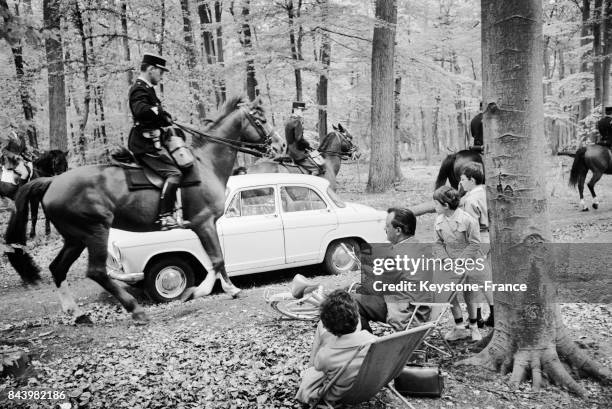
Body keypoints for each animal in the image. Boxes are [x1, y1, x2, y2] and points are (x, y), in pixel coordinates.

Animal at [3, 97, 286, 324]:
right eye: (260, 119)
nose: (281, 145)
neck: (205, 163)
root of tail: (52, 182)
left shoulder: (210, 224)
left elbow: (220, 259)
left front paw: (231, 289)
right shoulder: (203, 222)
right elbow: (215, 259)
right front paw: (199, 291)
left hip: (75, 238)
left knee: (57, 268)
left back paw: (77, 313)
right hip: (95, 231)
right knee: (96, 271)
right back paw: (135, 310)